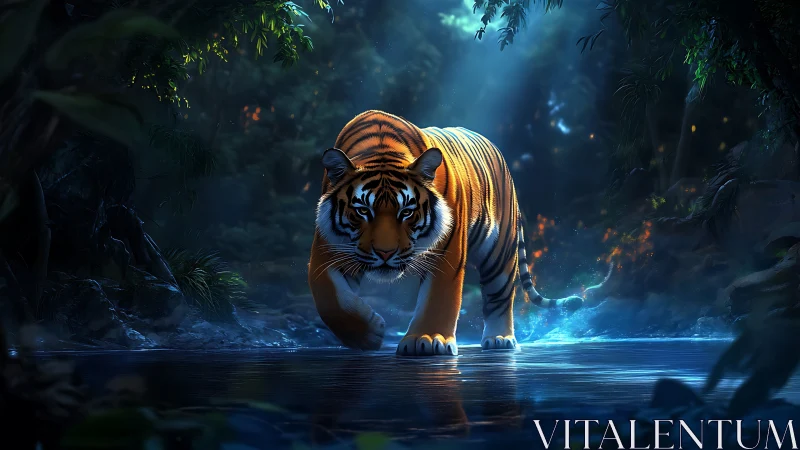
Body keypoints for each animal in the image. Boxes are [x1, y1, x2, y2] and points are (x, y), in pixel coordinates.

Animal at [308, 110, 613, 356]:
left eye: (406, 211)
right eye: (362, 211)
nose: (385, 253)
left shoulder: (447, 248)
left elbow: (439, 296)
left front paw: (427, 340)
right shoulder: (327, 250)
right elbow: (330, 300)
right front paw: (369, 335)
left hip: (500, 252)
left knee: (500, 295)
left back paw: (500, 339)